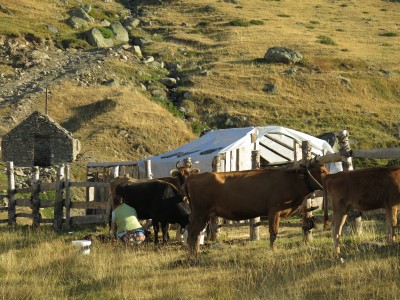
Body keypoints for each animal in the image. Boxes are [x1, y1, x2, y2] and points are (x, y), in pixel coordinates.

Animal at [184, 163, 328, 254]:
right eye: (321, 171)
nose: (331, 177)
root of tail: (193, 176)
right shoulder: (274, 210)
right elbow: (273, 232)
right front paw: (273, 250)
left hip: (204, 215)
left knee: (197, 233)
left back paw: (196, 252)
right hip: (199, 212)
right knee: (192, 232)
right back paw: (193, 255)